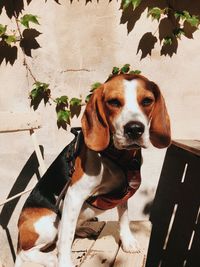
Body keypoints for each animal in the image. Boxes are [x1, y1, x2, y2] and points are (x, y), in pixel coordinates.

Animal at [14, 74, 170, 267]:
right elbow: (65, 239)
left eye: (147, 101)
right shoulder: (74, 195)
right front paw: (63, 262)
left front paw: (128, 241)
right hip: (49, 222)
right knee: (27, 252)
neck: (115, 156)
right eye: (114, 102)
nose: (134, 129)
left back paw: (82, 230)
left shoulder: (123, 191)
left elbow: (124, 217)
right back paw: (50, 257)